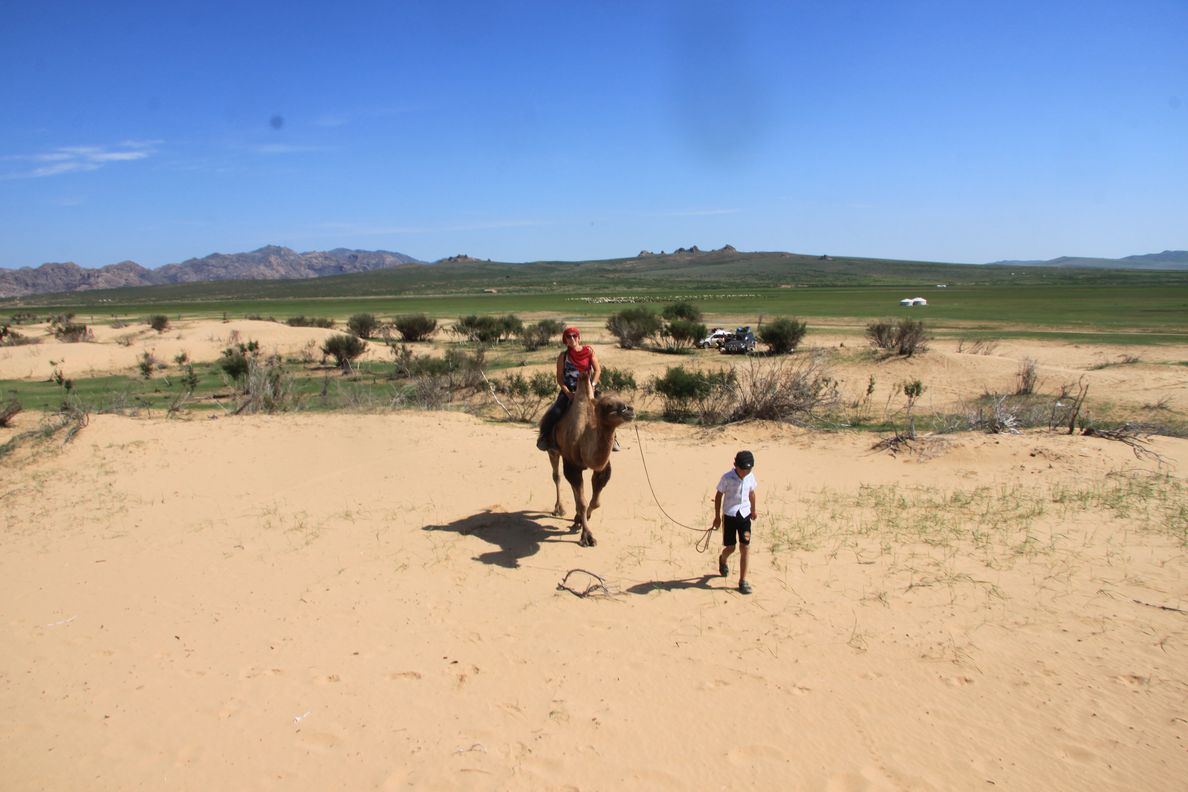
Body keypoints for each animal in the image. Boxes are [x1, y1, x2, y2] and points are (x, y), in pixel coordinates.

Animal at [546, 371, 636, 547]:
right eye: (608, 405)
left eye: (621, 398)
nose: (629, 409)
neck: (583, 437)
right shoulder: (571, 464)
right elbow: (583, 502)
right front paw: (587, 536)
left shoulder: (602, 467)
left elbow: (595, 502)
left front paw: (580, 519)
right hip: (553, 451)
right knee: (557, 476)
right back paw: (559, 509)